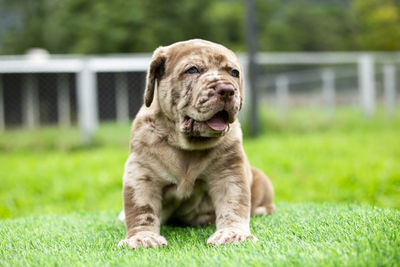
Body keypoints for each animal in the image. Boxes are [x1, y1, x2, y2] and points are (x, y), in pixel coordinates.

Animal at [118, 39, 276, 249]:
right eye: (192, 70)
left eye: (234, 73)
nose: (227, 89)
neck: (188, 144)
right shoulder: (141, 174)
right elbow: (141, 210)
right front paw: (143, 237)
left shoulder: (229, 172)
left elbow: (234, 204)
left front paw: (233, 234)